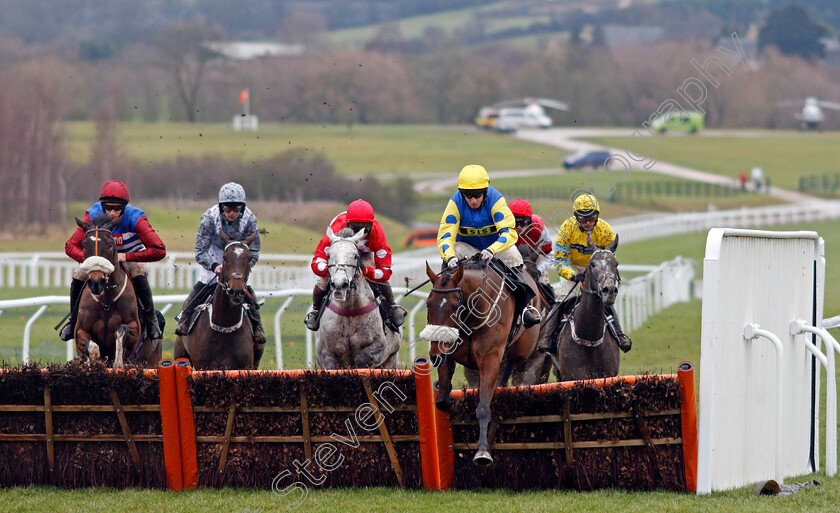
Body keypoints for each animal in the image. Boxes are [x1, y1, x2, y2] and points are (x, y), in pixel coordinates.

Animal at [174, 232, 260, 368]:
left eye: (249, 258)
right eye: (225, 257)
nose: (236, 290)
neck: (224, 326)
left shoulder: (246, 366)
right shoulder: (203, 366)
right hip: (180, 352)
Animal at [424, 256, 540, 464]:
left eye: (455, 305)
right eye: (429, 304)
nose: (434, 355)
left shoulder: (490, 360)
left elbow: (484, 407)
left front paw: (483, 451)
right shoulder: (447, 352)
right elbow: (443, 401)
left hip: (522, 350)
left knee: (513, 366)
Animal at [548, 234, 620, 382]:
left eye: (616, 264)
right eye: (592, 264)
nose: (609, 290)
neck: (589, 337)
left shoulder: (609, 373)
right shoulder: (573, 376)